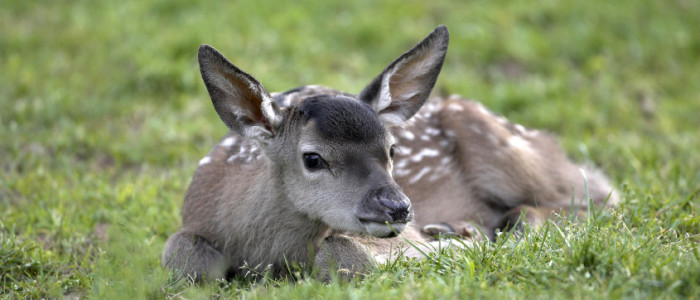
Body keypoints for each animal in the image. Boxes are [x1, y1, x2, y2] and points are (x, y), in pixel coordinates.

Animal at [161, 25, 616, 282]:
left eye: (392, 148)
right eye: (313, 158)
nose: (398, 208)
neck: (267, 255)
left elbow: (341, 252)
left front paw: (461, 243)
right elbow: (180, 256)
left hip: (506, 150)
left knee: (595, 199)